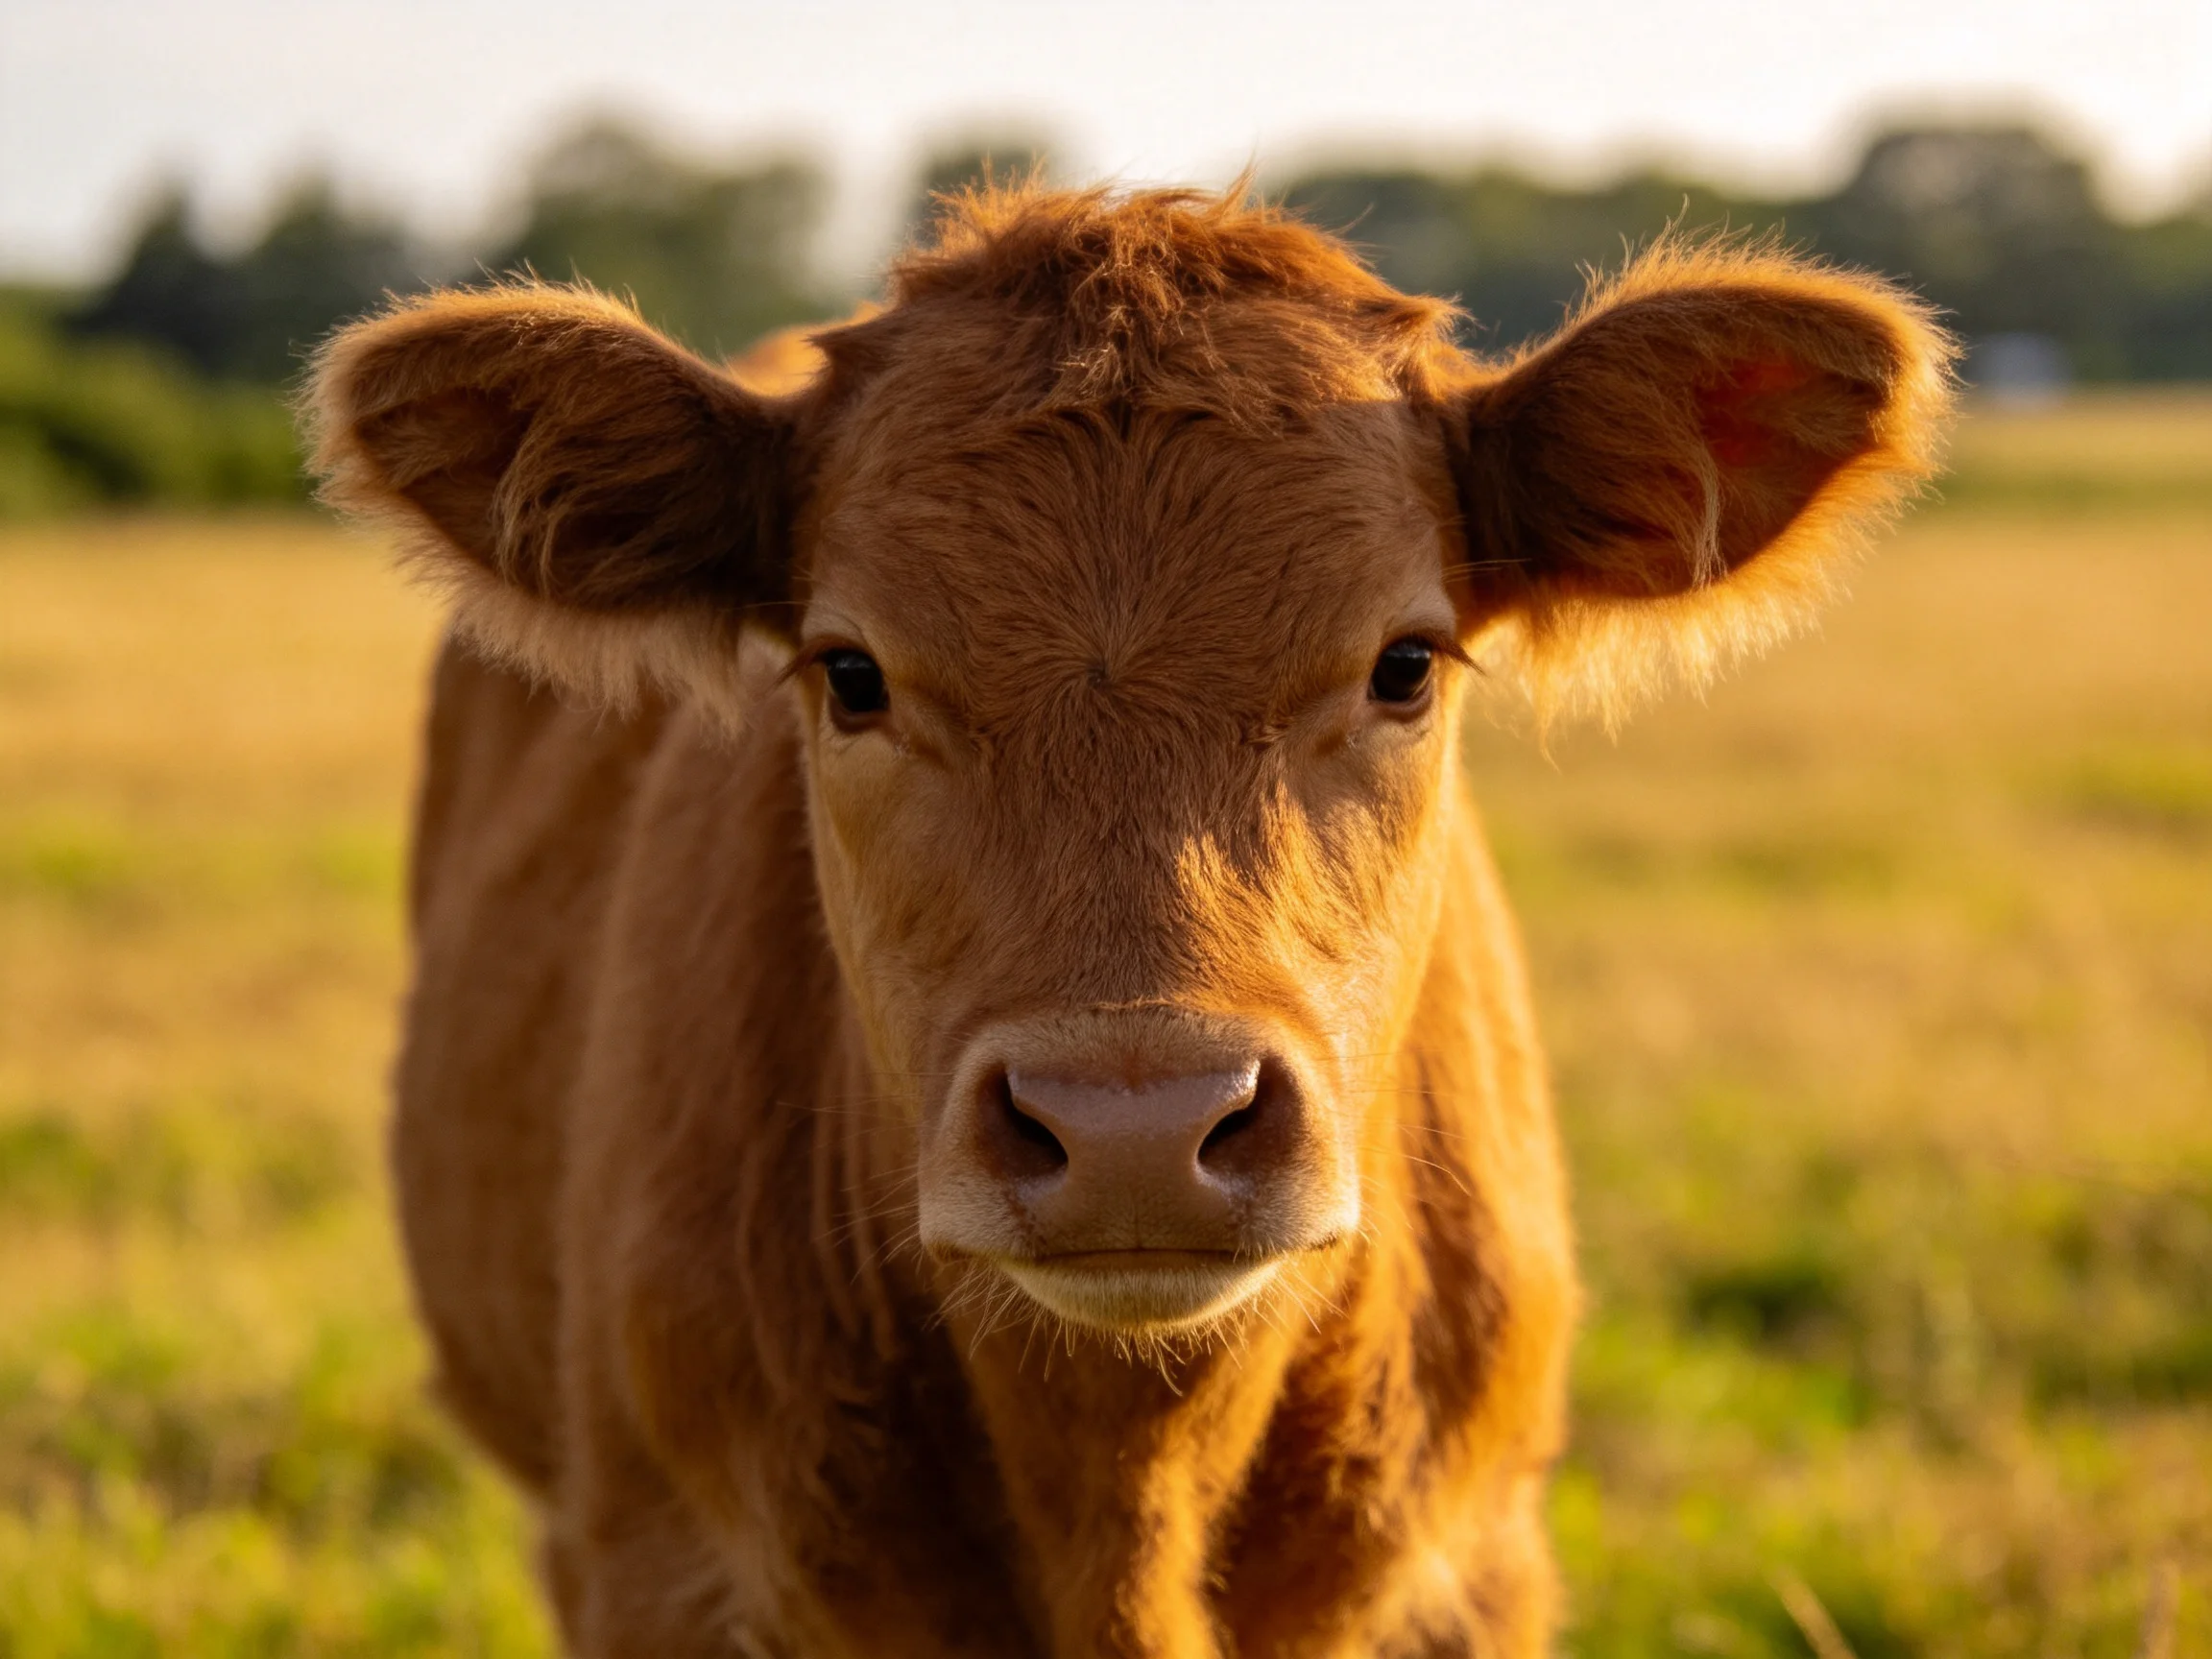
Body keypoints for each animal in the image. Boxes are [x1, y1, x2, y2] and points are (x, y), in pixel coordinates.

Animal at [306, 183, 1953, 1658]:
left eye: (1406, 663)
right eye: (850, 674)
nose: (1135, 1129)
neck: (1123, 1500)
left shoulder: (1472, 1572)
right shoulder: (657, 1571)